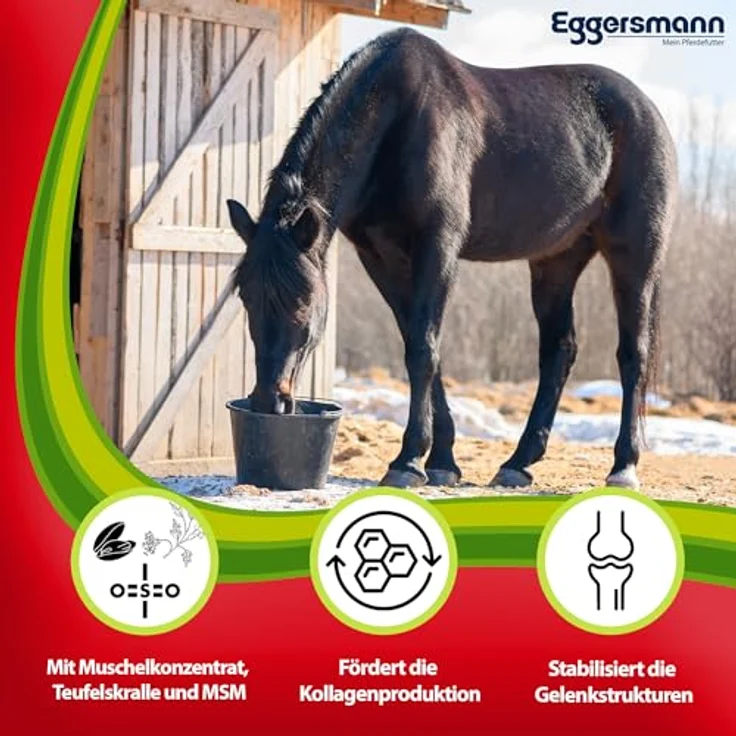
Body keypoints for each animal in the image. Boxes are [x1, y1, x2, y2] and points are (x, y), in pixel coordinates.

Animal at [226, 27, 677, 491]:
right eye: (246, 298)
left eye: (303, 301)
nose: (269, 402)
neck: (395, 118)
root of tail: (646, 109)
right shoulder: (382, 258)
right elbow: (422, 347)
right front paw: (441, 460)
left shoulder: (438, 247)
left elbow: (423, 350)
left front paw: (408, 462)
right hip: (556, 261)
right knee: (559, 350)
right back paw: (518, 463)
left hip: (634, 255)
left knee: (633, 353)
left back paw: (623, 466)